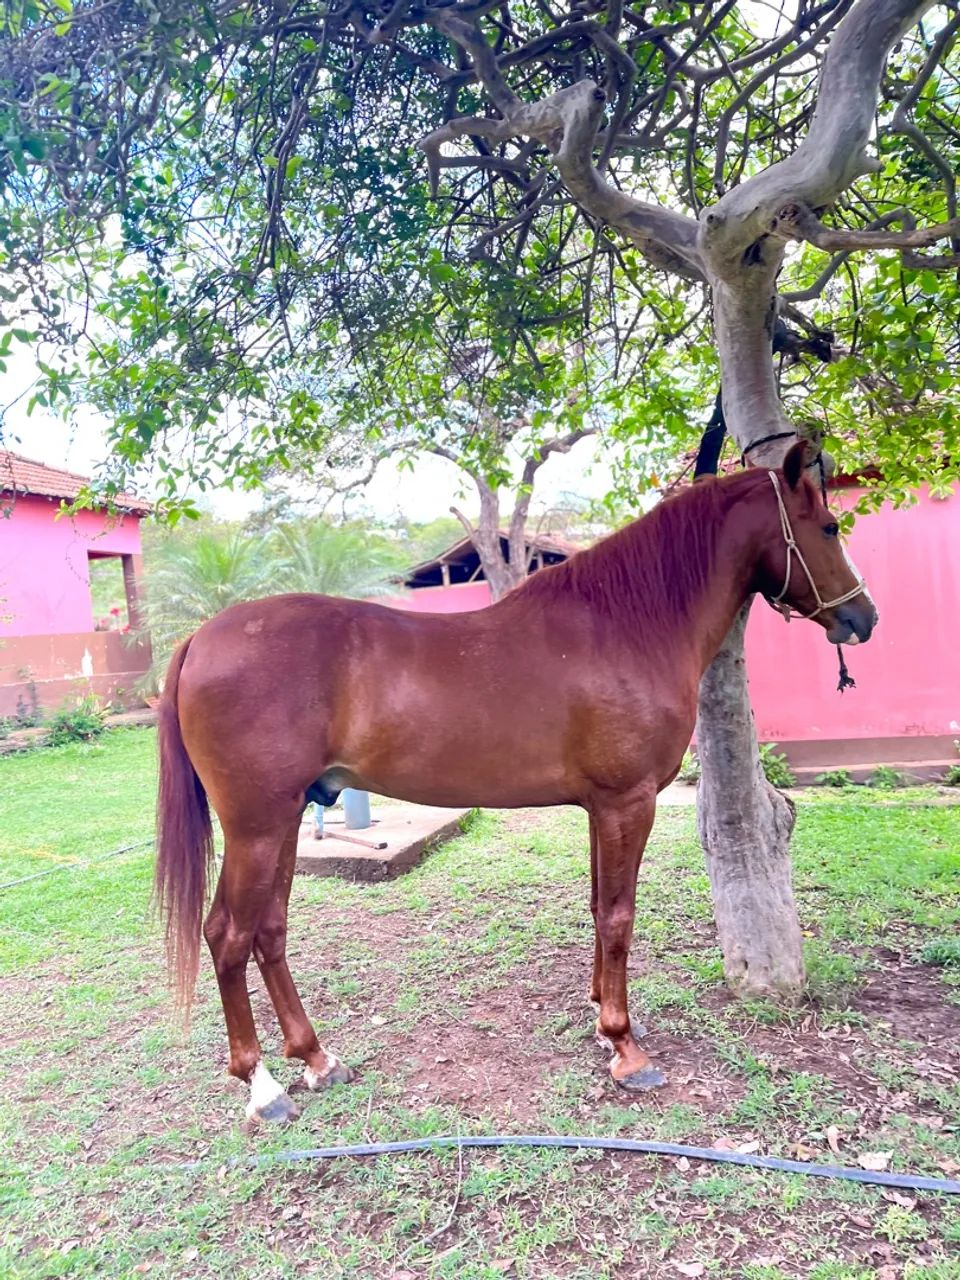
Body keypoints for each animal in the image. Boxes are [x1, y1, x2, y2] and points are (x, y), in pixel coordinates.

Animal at [155, 442, 877, 1122]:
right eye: (829, 525)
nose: (863, 618)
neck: (628, 625)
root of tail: (199, 639)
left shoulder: (600, 808)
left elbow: (599, 908)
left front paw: (602, 1020)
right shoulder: (628, 803)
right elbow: (620, 916)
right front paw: (626, 1048)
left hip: (284, 820)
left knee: (269, 932)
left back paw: (316, 1058)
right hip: (255, 827)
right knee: (228, 936)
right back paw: (262, 1087)